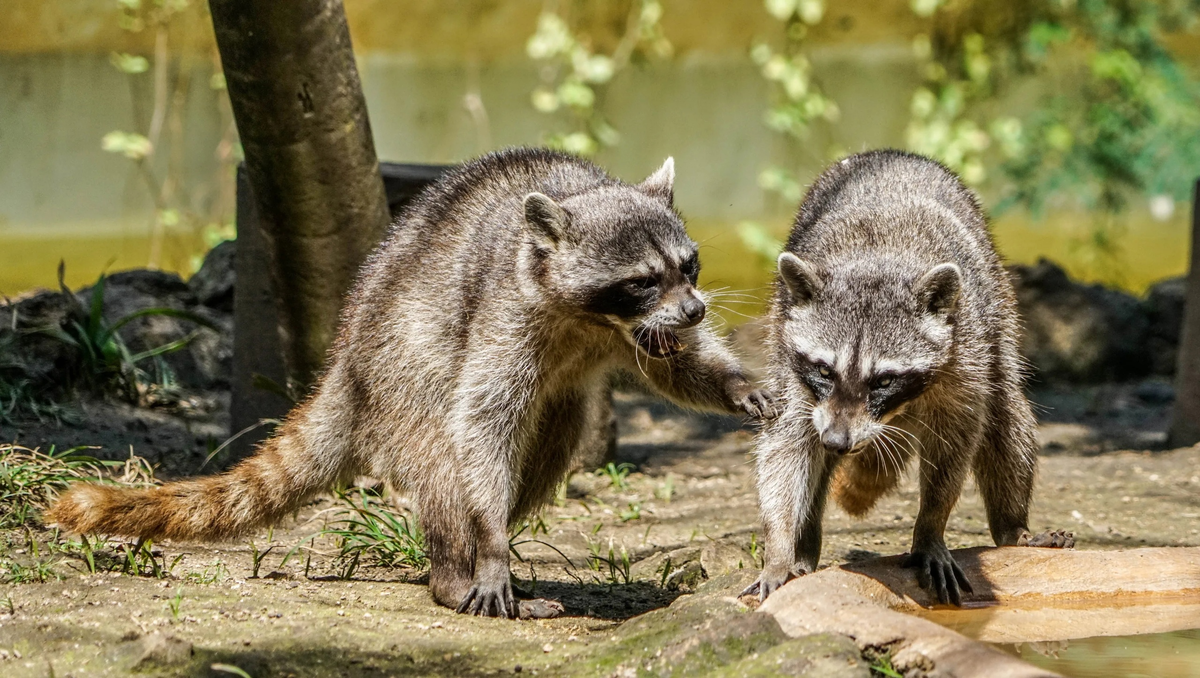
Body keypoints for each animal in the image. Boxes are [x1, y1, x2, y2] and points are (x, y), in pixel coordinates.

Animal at [46, 148, 772, 619]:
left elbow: (677, 364)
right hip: (403, 374)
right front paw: (491, 544)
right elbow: (481, 420)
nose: (696, 309)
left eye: (689, 266)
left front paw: (733, 381)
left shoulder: (642, 330)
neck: (594, 319)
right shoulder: (505, 308)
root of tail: (346, 364)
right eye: (642, 280)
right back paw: (460, 565)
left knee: (551, 440)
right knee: (449, 458)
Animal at [744, 148, 1075, 602]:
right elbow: (787, 444)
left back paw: (1013, 527)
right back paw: (804, 545)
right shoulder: (790, 358)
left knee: (1007, 416)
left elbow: (954, 441)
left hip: (997, 309)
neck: (875, 259)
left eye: (883, 380)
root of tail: (890, 153)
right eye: (825, 370)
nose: (837, 441)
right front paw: (778, 546)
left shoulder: (964, 352)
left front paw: (930, 527)